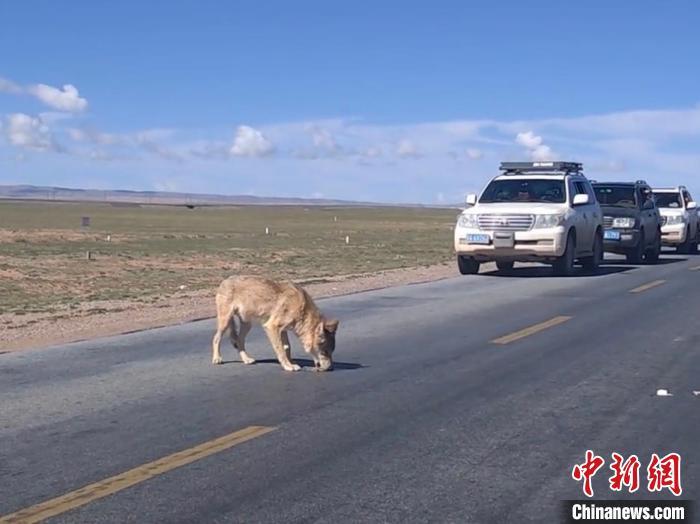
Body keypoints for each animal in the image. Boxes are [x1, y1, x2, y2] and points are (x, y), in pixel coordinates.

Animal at [211, 276, 340, 370]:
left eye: (331, 352)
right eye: (325, 352)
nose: (330, 368)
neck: (302, 310)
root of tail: (225, 280)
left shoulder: (283, 330)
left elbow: (287, 347)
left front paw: (291, 362)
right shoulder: (272, 327)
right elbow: (280, 349)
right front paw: (288, 366)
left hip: (247, 325)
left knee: (239, 341)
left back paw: (246, 360)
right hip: (225, 322)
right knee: (216, 338)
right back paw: (217, 358)